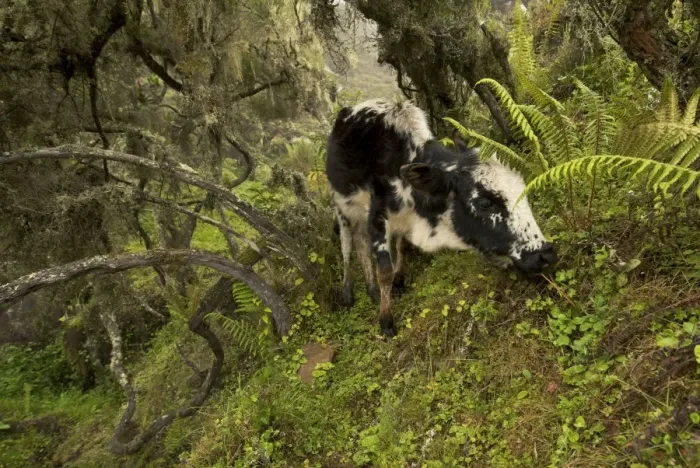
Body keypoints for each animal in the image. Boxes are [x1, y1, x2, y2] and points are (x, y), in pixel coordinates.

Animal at [325, 99, 557, 337]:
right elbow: (384, 271)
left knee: (365, 242)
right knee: (349, 244)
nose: (545, 255)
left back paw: (372, 290)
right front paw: (386, 321)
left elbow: (401, 246)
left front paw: (398, 281)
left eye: (524, 190)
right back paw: (348, 292)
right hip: (342, 207)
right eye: (484, 203)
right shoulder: (377, 218)